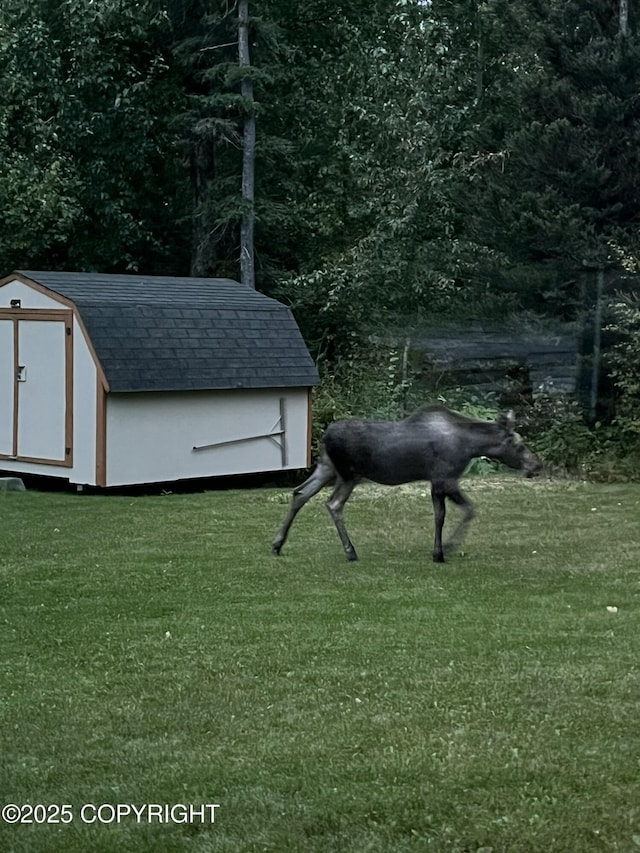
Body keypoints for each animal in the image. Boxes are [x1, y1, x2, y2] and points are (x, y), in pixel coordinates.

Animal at [272, 404, 544, 564]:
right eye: (519, 444)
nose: (537, 465)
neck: (471, 446)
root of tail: (324, 437)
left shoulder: (438, 482)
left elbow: (445, 514)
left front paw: (439, 550)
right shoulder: (445, 478)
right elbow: (463, 511)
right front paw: (444, 550)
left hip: (327, 468)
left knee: (299, 493)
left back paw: (277, 544)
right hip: (349, 474)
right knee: (333, 503)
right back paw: (350, 551)